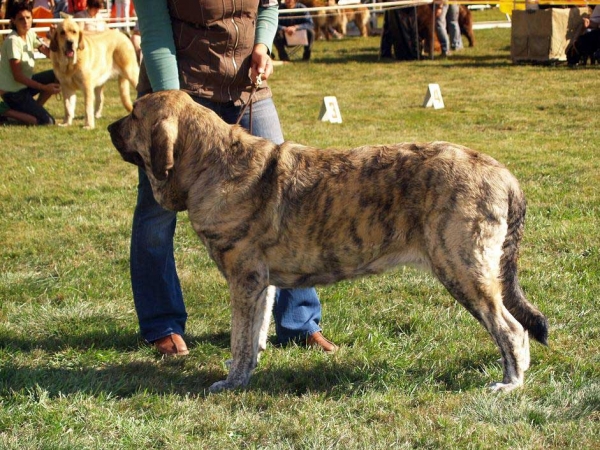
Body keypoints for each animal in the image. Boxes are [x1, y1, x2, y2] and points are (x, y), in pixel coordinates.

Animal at [108, 91, 548, 394]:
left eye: (134, 114)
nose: (110, 128)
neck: (211, 164)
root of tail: (503, 173)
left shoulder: (244, 279)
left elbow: (240, 337)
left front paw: (231, 383)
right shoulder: (261, 282)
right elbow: (254, 334)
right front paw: (245, 373)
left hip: (463, 269)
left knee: (511, 329)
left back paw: (510, 383)